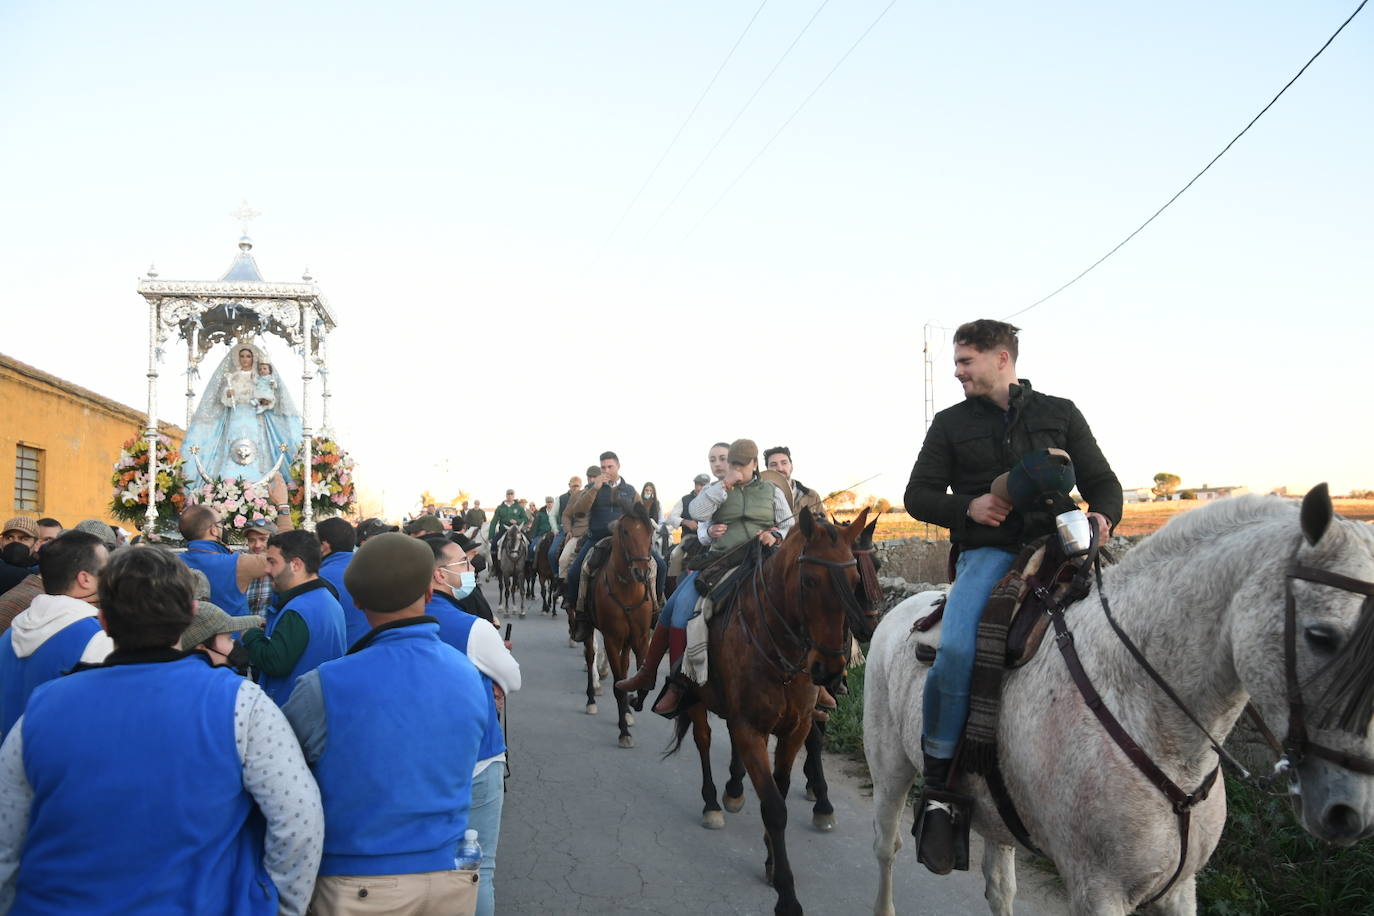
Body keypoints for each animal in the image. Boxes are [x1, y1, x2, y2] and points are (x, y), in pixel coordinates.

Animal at [582, 505, 656, 747]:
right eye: (625, 531)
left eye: (650, 530)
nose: (642, 572)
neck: (627, 590)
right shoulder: (612, 639)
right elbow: (617, 686)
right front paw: (624, 732)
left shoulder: (641, 639)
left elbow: (640, 682)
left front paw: (633, 704)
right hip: (589, 629)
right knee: (590, 656)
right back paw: (591, 699)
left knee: (624, 668)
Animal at [670, 508, 873, 916]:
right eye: (809, 580)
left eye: (855, 579)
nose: (831, 669)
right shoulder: (751, 728)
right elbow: (775, 807)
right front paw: (787, 894)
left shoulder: (794, 727)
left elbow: (778, 790)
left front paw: (770, 859)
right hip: (698, 700)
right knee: (703, 742)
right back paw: (713, 802)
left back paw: (733, 790)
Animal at [868, 486, 1374, 916]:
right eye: (1321, 636)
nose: (1350, 813)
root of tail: (897, 612)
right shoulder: (1098, 891)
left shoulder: (1181, 889)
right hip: (891, 770)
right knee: (887, 847)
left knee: (999, 887)